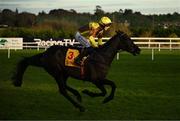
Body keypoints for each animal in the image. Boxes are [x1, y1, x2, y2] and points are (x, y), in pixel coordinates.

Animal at [11, 31, 141, 111]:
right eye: (128, 39)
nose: (138, 49)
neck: (102, 57)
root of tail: (45, 53)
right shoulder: (96, 80)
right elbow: (106, 90)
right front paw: (90, 93)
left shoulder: (100, 79)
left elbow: (113, 85)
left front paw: (103, 98)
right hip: (56, 72)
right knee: (63, 90)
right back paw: (80, 106)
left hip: (64, 73)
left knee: (65, 86)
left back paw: (77, 95)